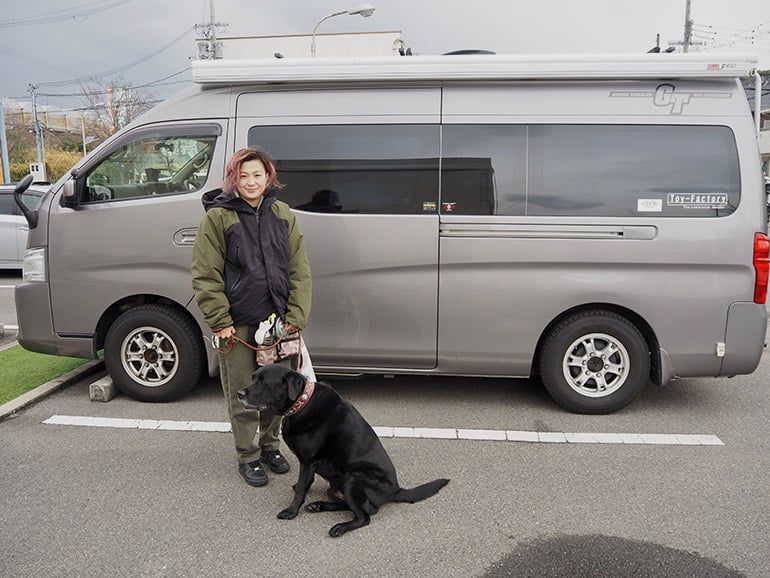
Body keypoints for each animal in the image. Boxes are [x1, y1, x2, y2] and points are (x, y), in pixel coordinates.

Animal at [237, 364, 448, 536]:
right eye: (253, 377)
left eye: (264, 383)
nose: (239, 393)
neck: (301, 403)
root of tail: (396, 489)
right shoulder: (309, 464)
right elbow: (306, 483)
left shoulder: (308, 461)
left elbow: (301, 490)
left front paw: (291, 511)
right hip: (339, 483)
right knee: (347, 504)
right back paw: (318, 506)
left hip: (353, 479)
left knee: (365, 516)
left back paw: (339, 527)